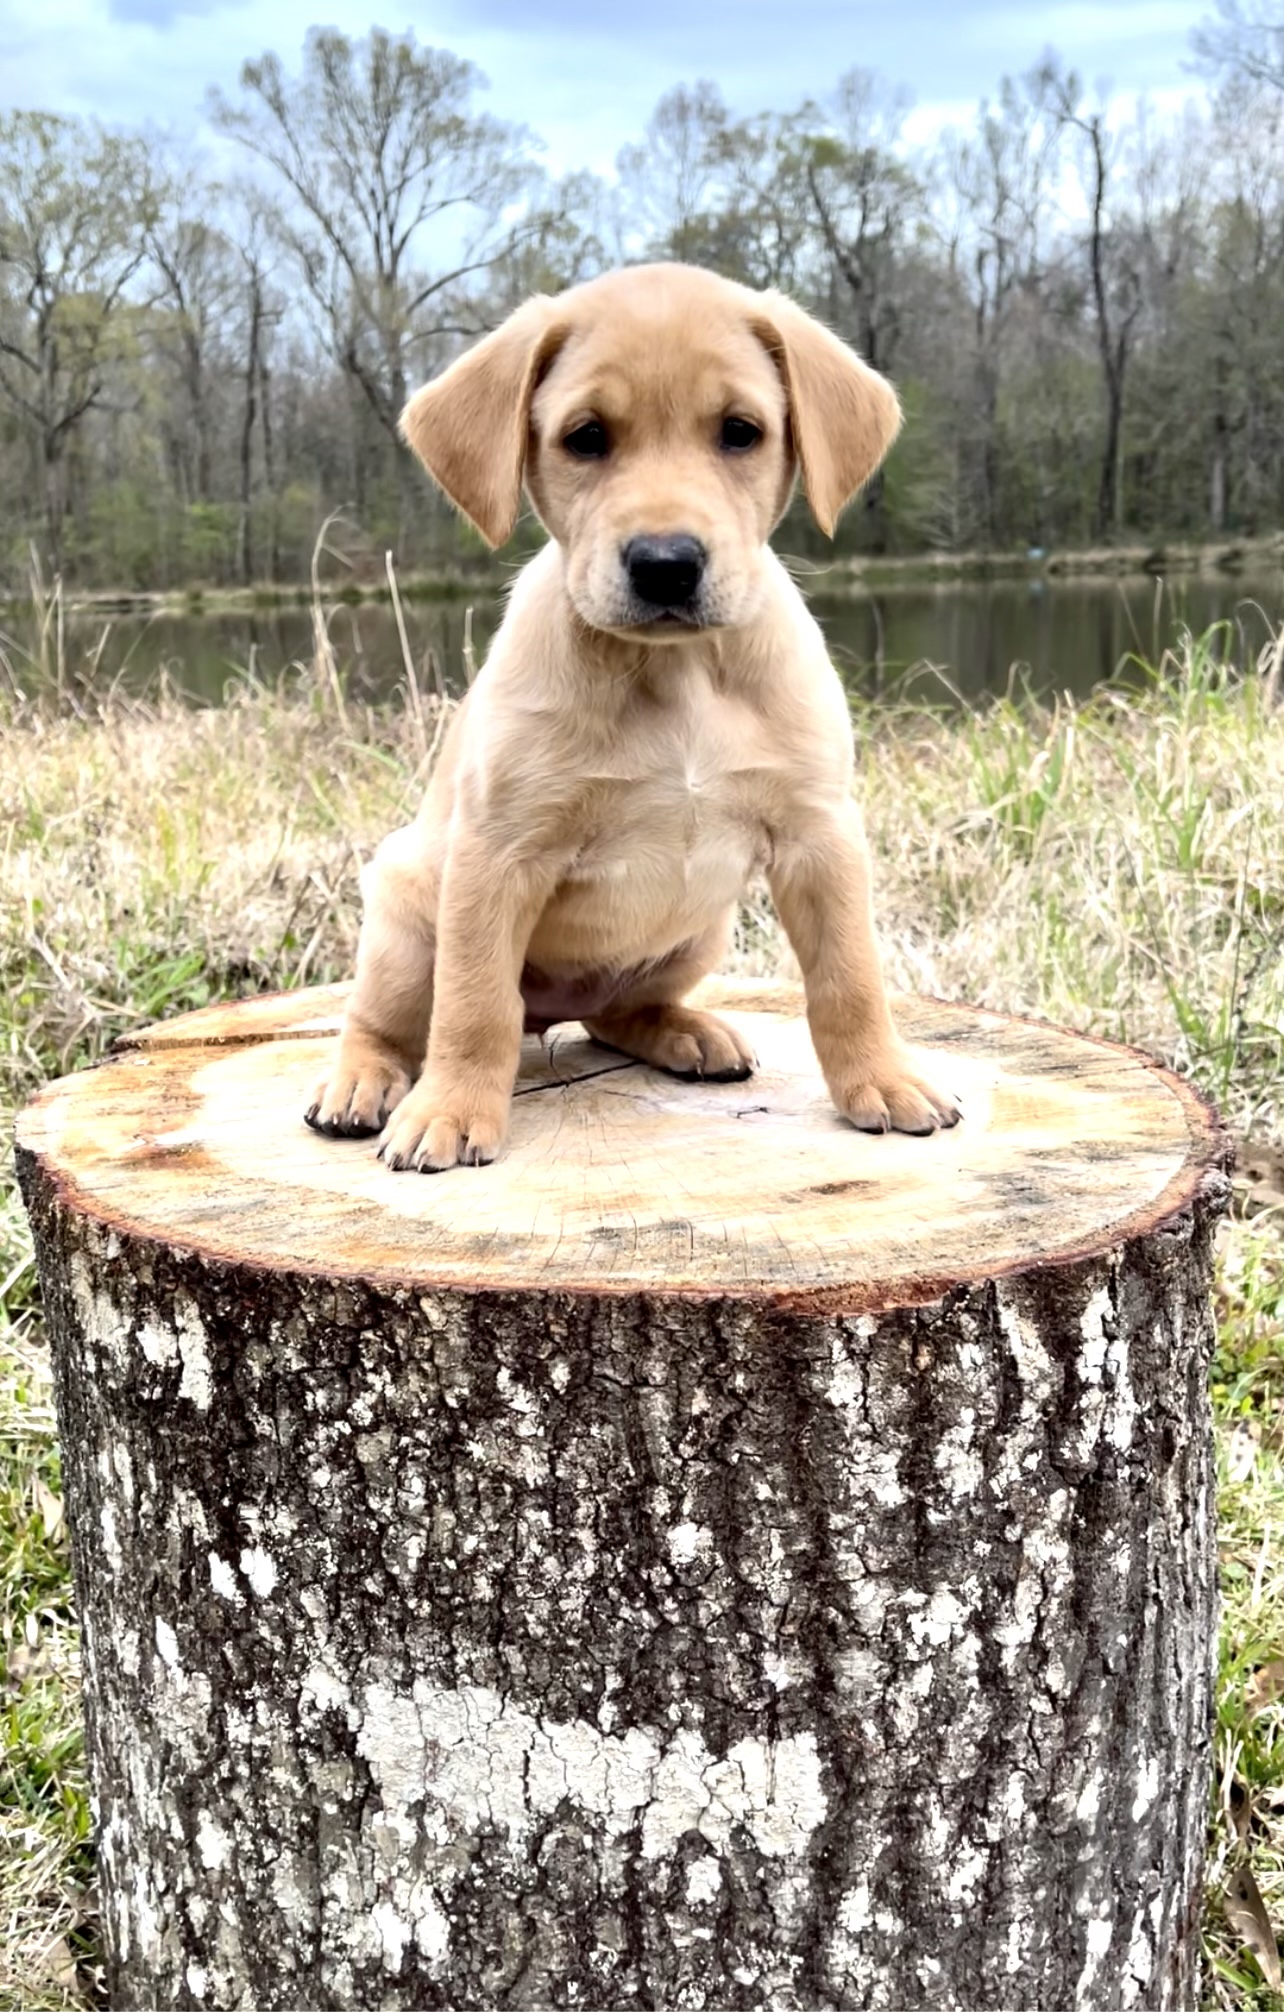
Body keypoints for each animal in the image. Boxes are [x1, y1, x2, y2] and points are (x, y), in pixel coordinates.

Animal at [305, 261, 961, 1175]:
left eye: (740, 432)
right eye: (585, 437)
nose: (665, 564)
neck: (675, 673)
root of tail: (553, 1006)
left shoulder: (820, 837)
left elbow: (849, 979)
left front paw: (885, 1078)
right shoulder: (497, 854)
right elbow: (473, 1006)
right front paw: (451, 1110)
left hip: (695, 934)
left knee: (614, 1015)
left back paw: (686, 1032)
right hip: (406, 910)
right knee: (399, 1020)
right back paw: (363, 1080)